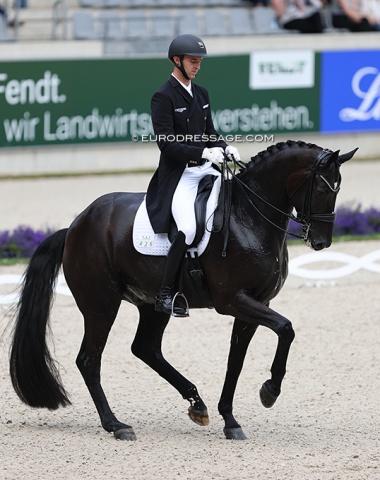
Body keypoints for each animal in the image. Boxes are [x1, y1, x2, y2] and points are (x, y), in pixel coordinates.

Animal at [8, 139, 356, 438]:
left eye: (338, 187)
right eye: (322, 188)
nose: (321, 242)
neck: (248, 217)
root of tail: (74, 227)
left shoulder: (255, 303)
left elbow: (236, 360)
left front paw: (230, 419)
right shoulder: (233, 300)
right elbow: (286, 328)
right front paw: (269, 391)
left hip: (151, 304)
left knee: (145, 349)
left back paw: (197, 404)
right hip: (101, 304)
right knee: (89, 360)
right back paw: (115, 425)